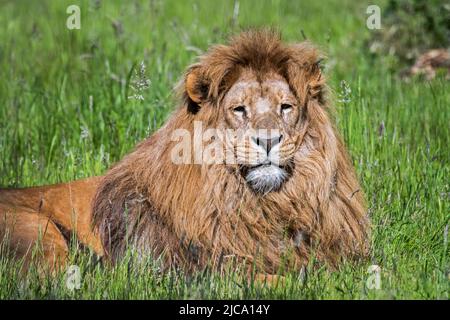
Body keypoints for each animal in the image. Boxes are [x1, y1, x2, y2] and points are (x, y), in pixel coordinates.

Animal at [0, 30, 370, 278]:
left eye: (285, 107)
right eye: (239, 109)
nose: (268, 140)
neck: (265, 206)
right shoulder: (203, 271)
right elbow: (277, 280)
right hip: (40, 235)